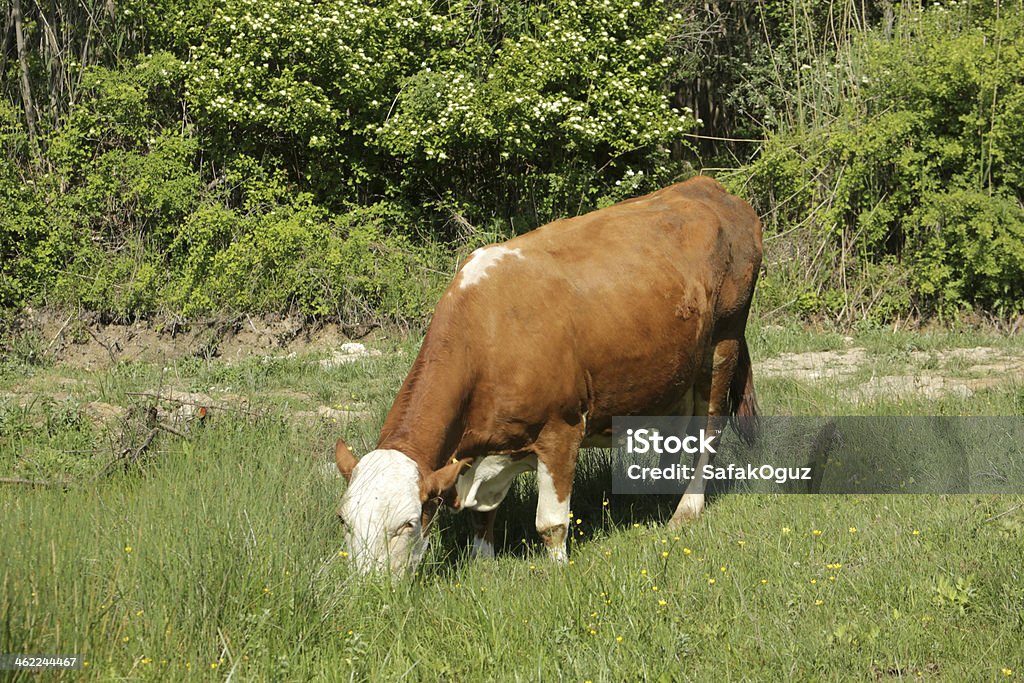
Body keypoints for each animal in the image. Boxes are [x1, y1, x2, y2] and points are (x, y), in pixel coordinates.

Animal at [335, 178, 761, 577]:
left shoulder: (562, 429)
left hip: (723, 342)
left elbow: (551, 523)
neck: (487, 333)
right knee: (677, 431)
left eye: (406, 525)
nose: (370, 589)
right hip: (675, 371)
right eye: (344, 521)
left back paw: (685, 509)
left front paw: (558, 573)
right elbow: (481, 515)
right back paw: (658, 491)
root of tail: (709, 187)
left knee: (709, 431)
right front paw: (483, 564)